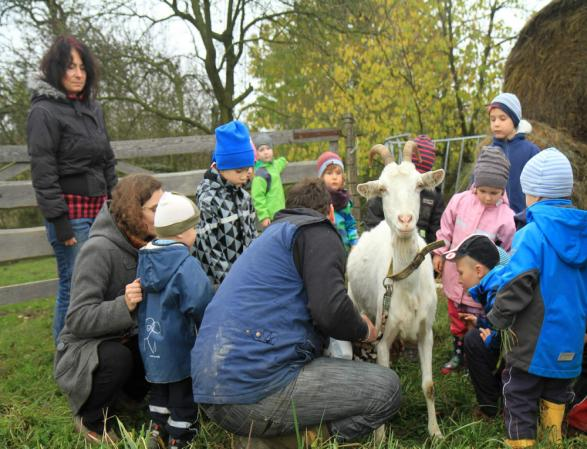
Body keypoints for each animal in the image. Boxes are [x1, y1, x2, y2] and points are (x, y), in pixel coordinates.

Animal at [350, 141, 446, 438]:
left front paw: (435, 432)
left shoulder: (427, 332)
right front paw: (380, 436)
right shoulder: (382, 337)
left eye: (419, 185)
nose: (405, 219)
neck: (407, 285)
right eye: (383, 189)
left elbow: (429, 386)